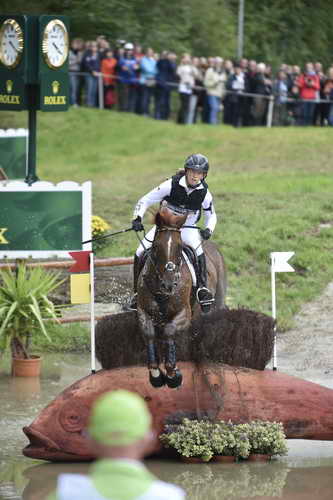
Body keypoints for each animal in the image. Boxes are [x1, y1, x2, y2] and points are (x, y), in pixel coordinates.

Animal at [135, 201, 226, 388]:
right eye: (156, 246)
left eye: (178, 248)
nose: (169, 284)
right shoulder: (143, 312)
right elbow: (150, 335)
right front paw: (156, 376)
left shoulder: (183, 314)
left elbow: (170, 331)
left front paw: (173, 375)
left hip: (215, 304)